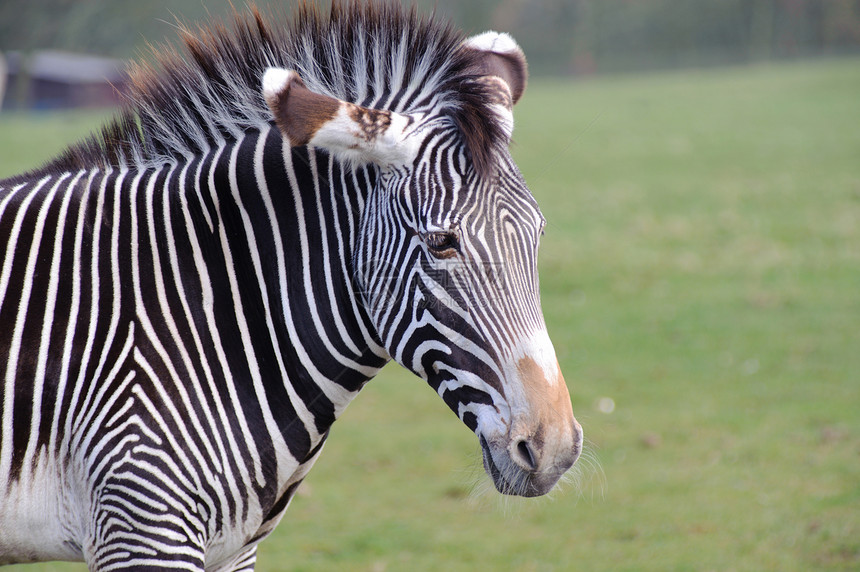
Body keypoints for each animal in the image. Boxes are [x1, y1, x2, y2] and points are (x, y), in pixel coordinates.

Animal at [0, 2, 580, 568]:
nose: (555, 452)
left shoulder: (234, 548)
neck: (205, 309)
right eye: (441, 242)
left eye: (538, 234)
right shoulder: (140, 525)